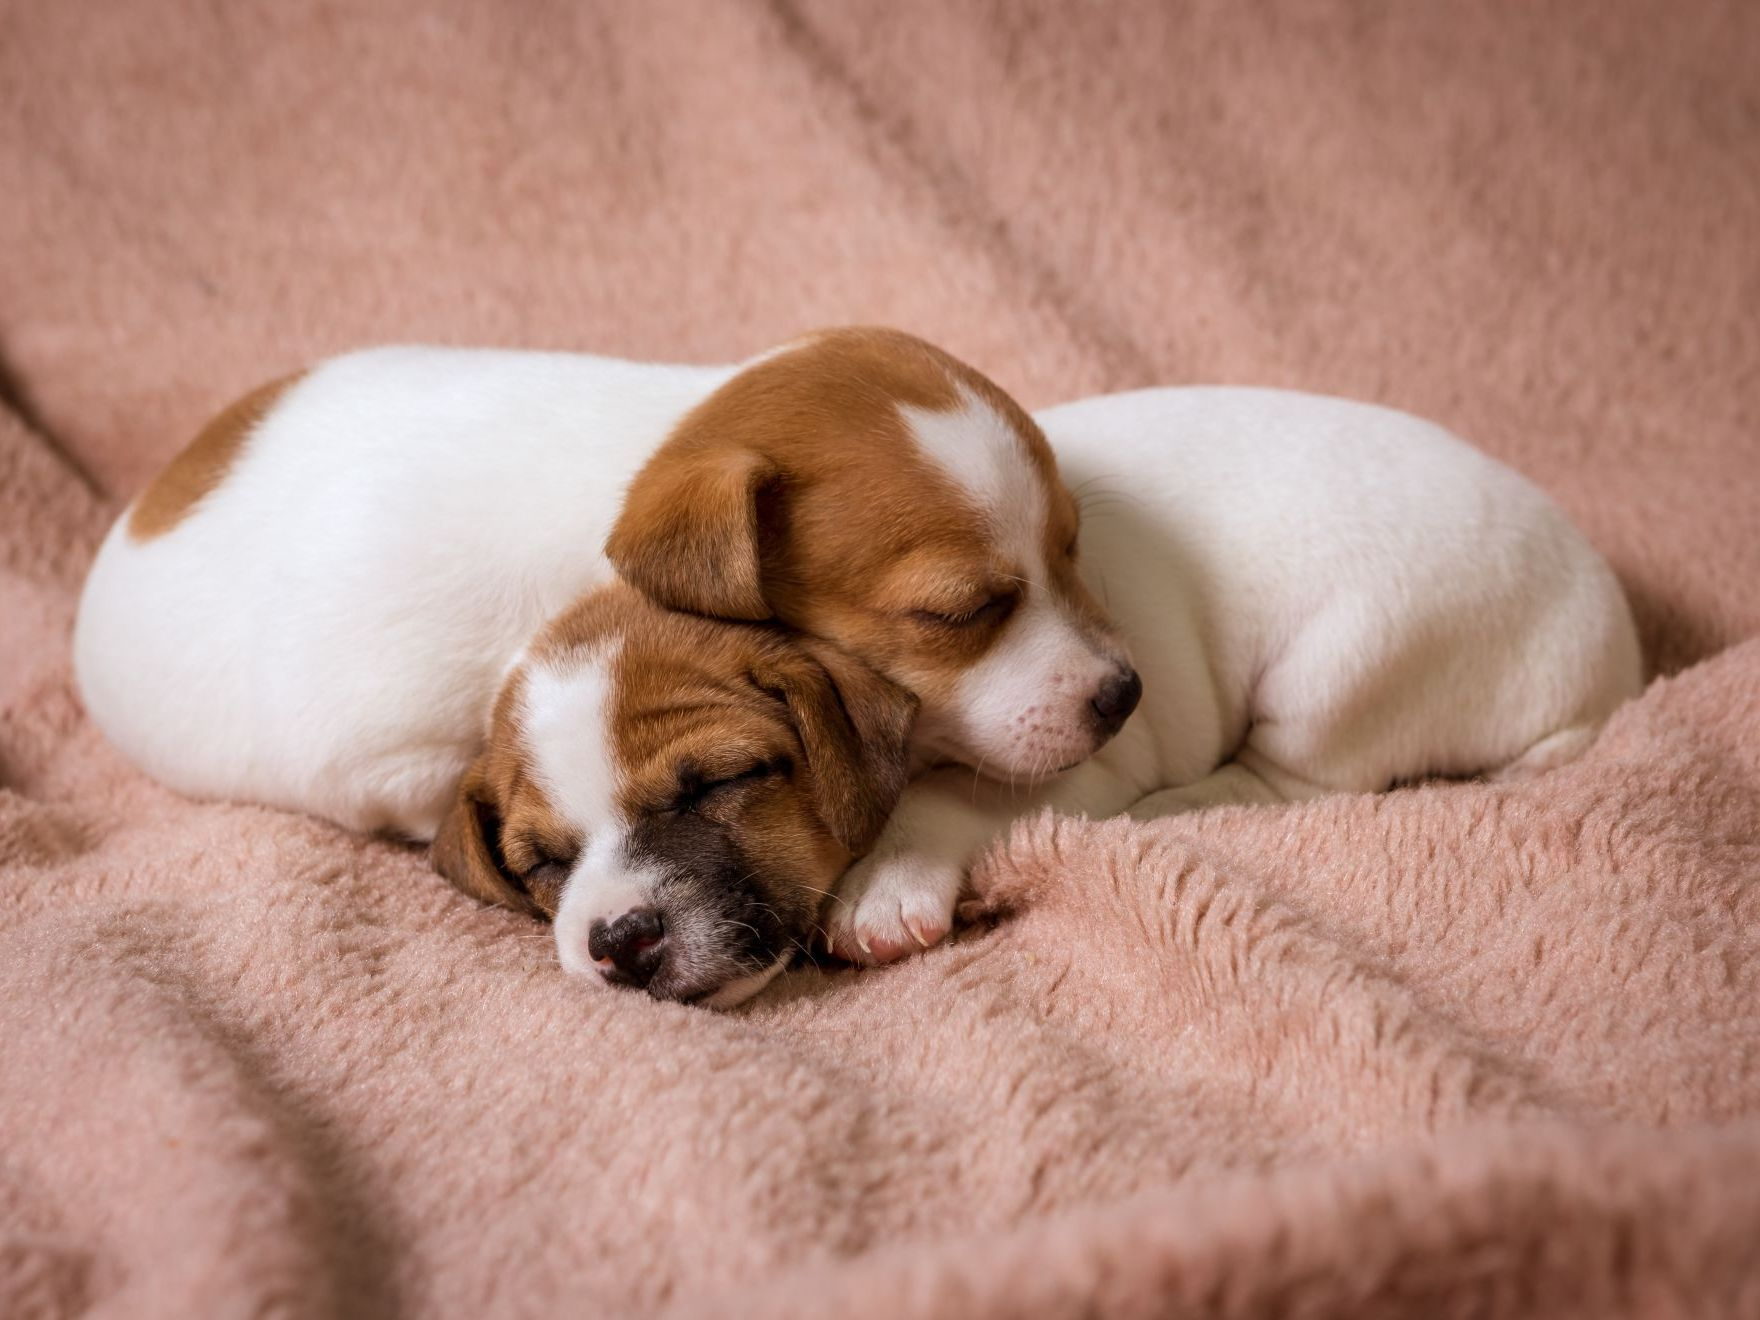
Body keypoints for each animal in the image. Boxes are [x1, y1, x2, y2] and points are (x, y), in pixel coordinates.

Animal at [816, 387, 1640, 964]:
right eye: (965, 612)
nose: (1127, 693)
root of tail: (1611, 661)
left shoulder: (1083, 759)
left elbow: (947, 792)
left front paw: (887, 880)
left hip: (1340, 672)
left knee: (1285, 783)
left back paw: (1174, 806)